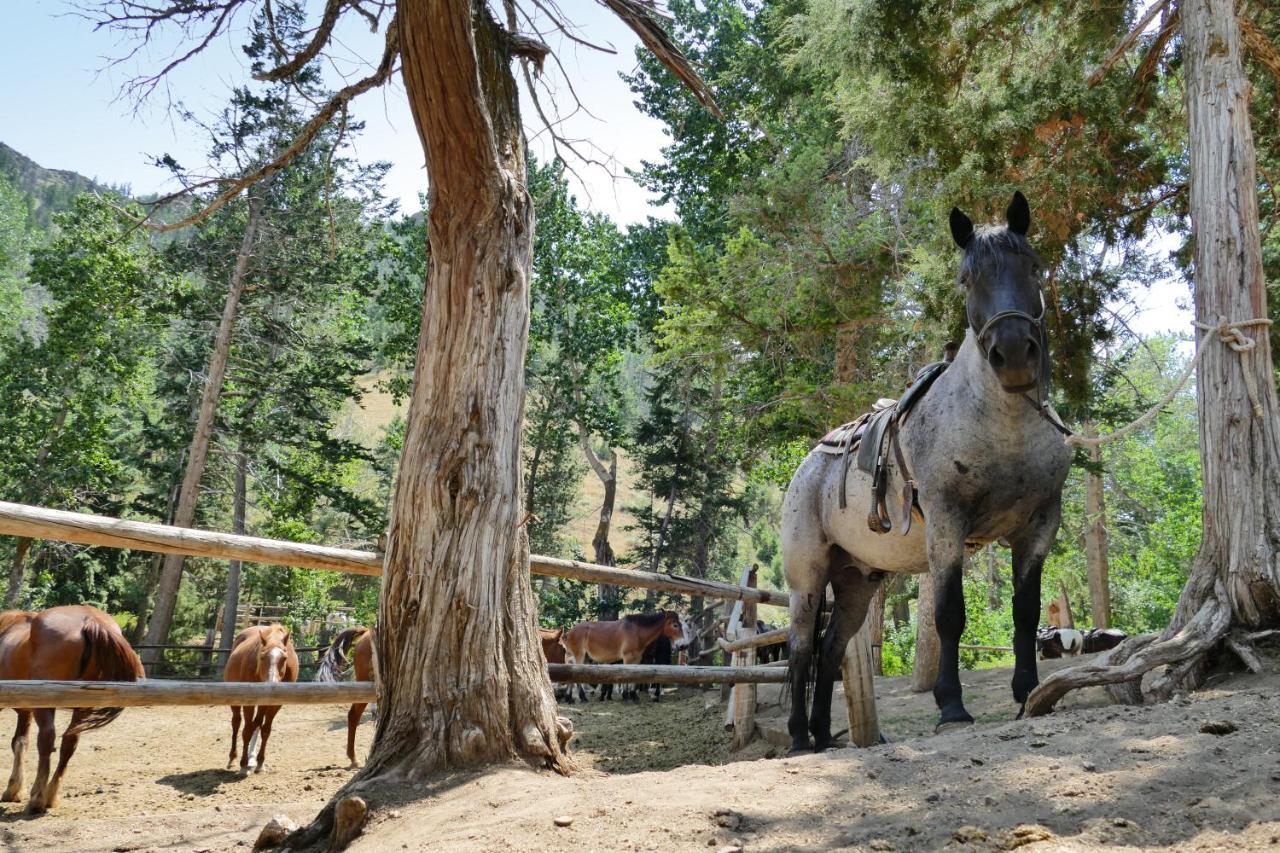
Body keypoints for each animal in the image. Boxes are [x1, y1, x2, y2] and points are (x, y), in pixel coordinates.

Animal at [0, 601, 144, 809]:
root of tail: (90, 619)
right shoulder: (25, 710)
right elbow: (20, 742)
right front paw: (14, 790)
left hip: (46, 704)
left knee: (46, 740)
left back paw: (37, 798)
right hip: (81, 704)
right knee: (69, 743)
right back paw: (51, 795)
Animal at [224, 622, 298, 773]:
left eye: (284, 658)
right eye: (262, 657)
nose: (271, 685)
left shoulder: (276, 704)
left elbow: (265, 730)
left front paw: (260, 762)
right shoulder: (249, 702)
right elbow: (246, 731)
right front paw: (243, 764)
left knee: (257, 724)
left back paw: (252, 758)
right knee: (236, 723)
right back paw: (233, 758)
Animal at [563, 607, 696, 701]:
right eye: (675, 625)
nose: (684, 645)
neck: (637, 631)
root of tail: (570, 632)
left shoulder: (638, 659)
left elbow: (635, 678)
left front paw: (633, 695)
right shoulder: (628, 658)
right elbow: (627, 677)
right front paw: (626, 695)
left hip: (584, 657)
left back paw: (570, 698)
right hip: (579, 656)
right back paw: (582, 697)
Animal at [778, 190, 1070, 753]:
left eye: (1032, 266)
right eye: (966, 279)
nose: (1014, 353)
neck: (1005, 429)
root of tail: (807, 466)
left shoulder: (1038, 527)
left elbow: (1025, 611)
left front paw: (1027, 694)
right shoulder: (947, 524)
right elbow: (949, 614)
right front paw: (951, 707)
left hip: (857, 582)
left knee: (830, 650)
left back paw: (824, 735)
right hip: (807, 579)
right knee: (802, 648)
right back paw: (800, 736)